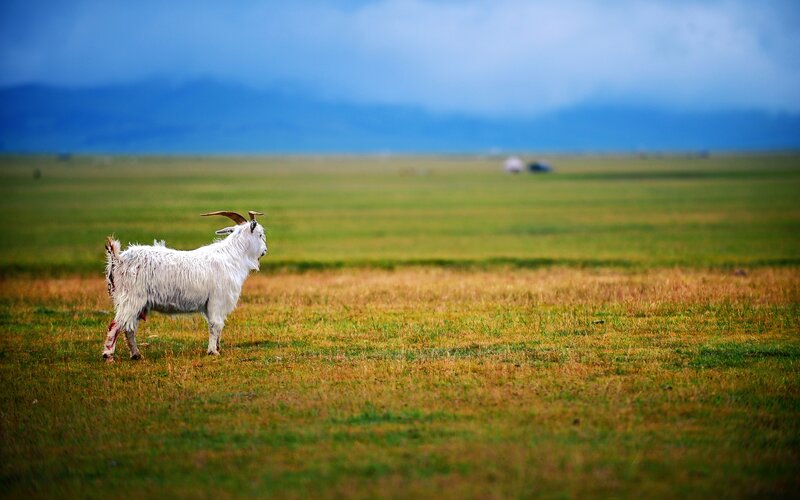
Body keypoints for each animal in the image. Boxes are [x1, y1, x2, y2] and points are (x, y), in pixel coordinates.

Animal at [102, 211, 267, 360]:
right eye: (260, 235)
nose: (265, 250)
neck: (232, 256)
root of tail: (117, 259)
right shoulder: (217, 300)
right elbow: (215, 325)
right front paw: (213, 352)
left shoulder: (210, 305)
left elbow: (217, 326)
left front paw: (217, 347)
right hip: (131, 299)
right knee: (116, 325)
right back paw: (108, 355)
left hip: (136, 303)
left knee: (128, 328)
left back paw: (136, 355)